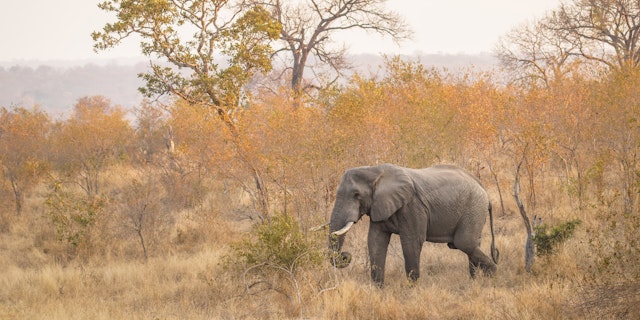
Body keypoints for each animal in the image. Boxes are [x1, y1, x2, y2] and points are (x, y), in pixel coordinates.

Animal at [330, 164, 500, 286]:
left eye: (356, 195)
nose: (345, 255)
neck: (374, 170)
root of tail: (483, 188)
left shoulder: (412, 206)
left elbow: (411, 241)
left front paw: (412, 289)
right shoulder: (379, 206)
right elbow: (375, 241)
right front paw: (378, 290)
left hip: (474, 207)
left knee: (464, 242)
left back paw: (492, 277)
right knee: (471, 244)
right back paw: (474, 281)